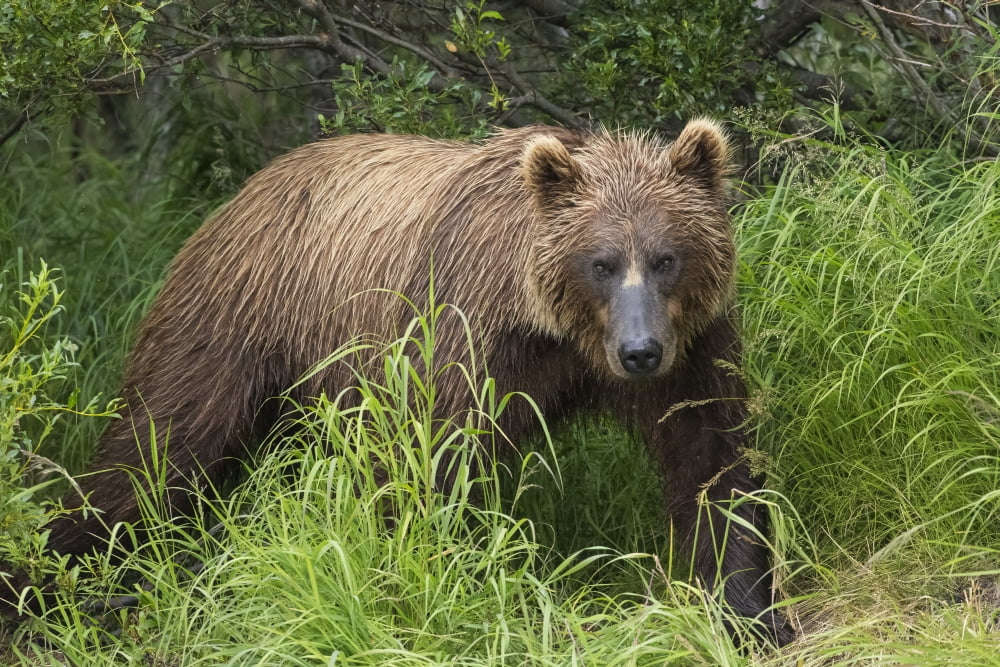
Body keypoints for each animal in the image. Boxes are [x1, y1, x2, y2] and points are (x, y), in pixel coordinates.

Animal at [29, 120, 787, 644]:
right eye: (600, 262)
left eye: (666, 257)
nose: (639, 352)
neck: (560, 332)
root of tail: (241, 194)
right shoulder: (466, 340)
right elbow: (433, 461)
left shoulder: (692, 346)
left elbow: (712, 458)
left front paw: (746, 609)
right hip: (232, 323)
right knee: (156, 448)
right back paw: (57, 580)